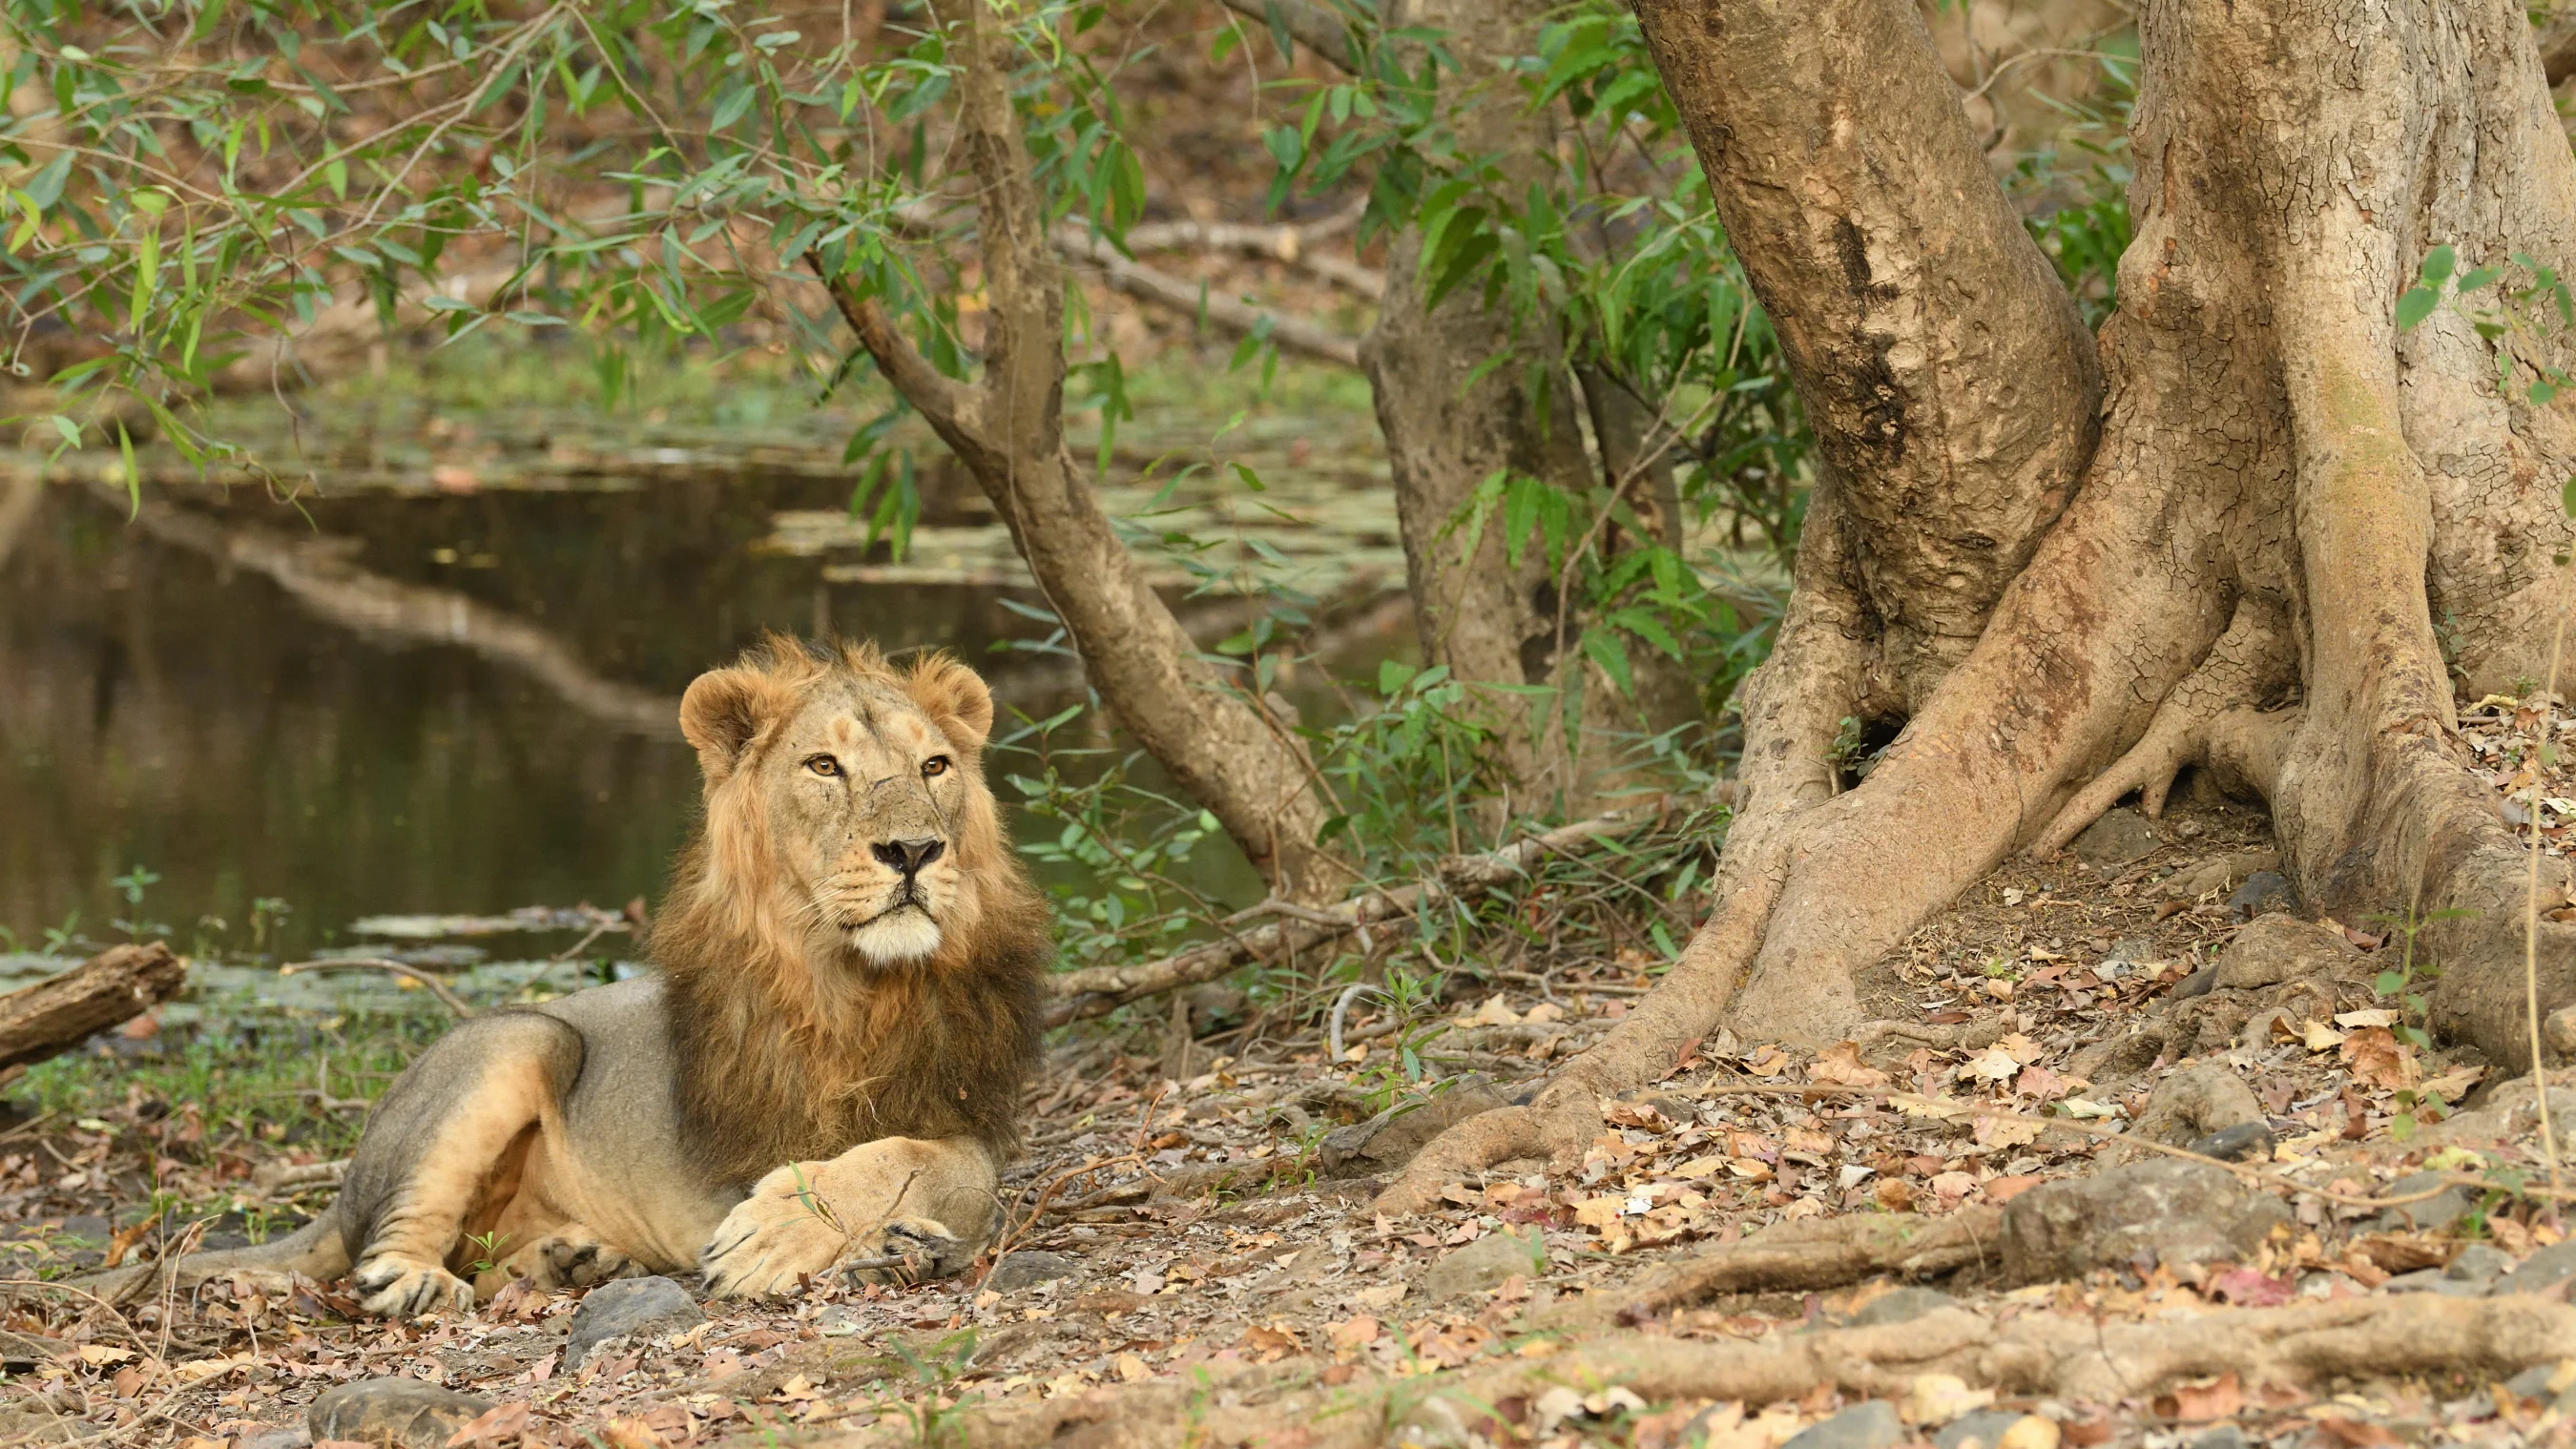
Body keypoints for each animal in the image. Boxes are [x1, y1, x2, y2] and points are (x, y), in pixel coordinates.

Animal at [96, 638, 1048, 1317]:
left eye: (934, 766)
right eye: (824, 766)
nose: (915, 850)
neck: (864, 981)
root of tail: (340, 1187)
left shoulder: (964, 1110)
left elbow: (937, 1162)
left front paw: (896, 1241)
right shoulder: (752, 1141)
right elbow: (873, 1164)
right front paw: (787, 1236)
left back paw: (573, 1259)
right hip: (521, 1038)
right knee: (391, 1245)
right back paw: (420, 1279)